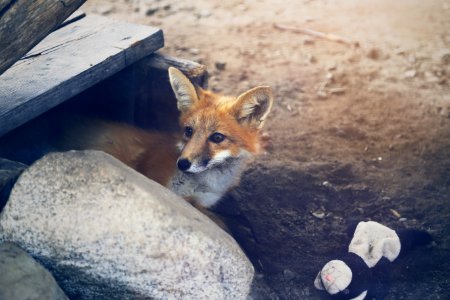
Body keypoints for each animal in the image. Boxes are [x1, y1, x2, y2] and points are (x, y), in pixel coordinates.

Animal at [0, 67, 274, 210]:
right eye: (188, 131)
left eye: (217, 137)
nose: (183, 163)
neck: (202, 185)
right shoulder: (158, 183)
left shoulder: (200, 203)